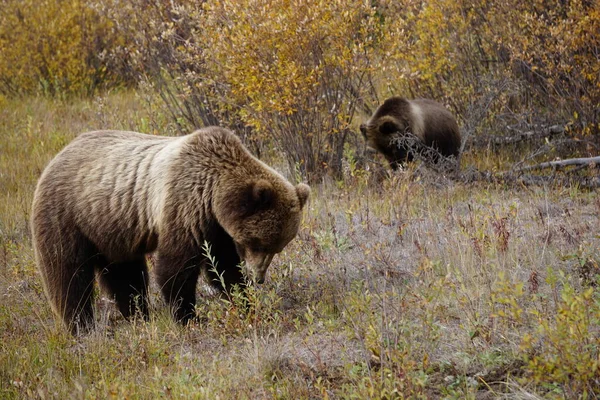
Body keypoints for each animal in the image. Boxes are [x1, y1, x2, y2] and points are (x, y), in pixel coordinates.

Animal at [29, 126, 310, 332]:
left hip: (112, 228)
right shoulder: (186, 205)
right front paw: (189, 317)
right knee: (68, 275)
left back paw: (138, 315)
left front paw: (245, 301)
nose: (259, 277)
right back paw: (81, 325)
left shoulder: (215, 227)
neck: (214, 195)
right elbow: (176, 267)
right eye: (259, 243)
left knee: (125, 276)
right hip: (68, 217)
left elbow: (223, 266)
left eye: (278, 247)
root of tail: (56, 157)